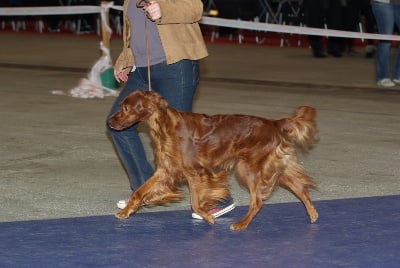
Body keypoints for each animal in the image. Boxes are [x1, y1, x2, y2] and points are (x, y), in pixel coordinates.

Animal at [107, 90, 318, 230]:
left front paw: (208, 217)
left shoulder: (195, 172)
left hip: (247, 168)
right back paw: (313, 214)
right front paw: (126, 211)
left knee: (258, 201)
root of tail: (275, 123)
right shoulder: (165, 171)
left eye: (126, 108)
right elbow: (139, 191)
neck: (166, 127)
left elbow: (194, 202)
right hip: (273, 167)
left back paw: (241, 224)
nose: (109, 122)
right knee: (299, 187)